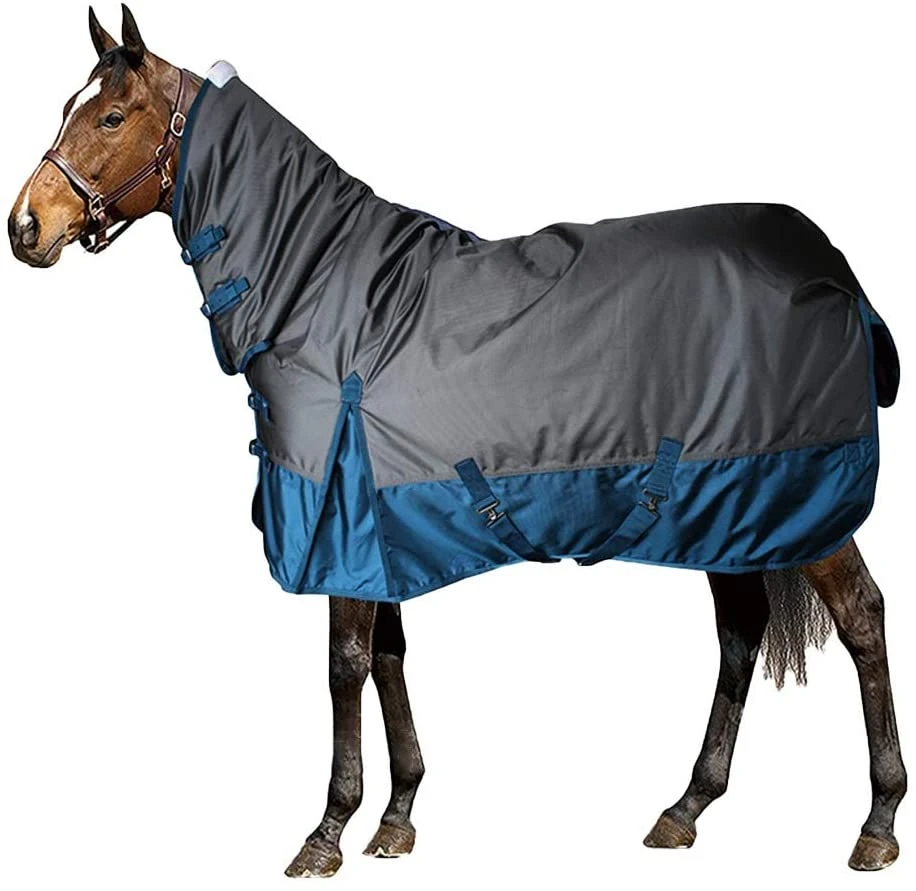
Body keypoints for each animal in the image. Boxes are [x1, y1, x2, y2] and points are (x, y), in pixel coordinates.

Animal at [7, 5, 907, 877]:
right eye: (65, 108)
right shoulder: (375, 525)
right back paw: (685, 807)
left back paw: (877, 822)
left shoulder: (338, 522)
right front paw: (397, 815)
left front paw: (326, 831)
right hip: (732, 505)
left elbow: (345, 664)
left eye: (111, 115)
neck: (325, 294)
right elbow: (389, 656)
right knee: (741, 630)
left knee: (862, 617)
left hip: (798, 501)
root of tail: (831, 264)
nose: (25, 226)